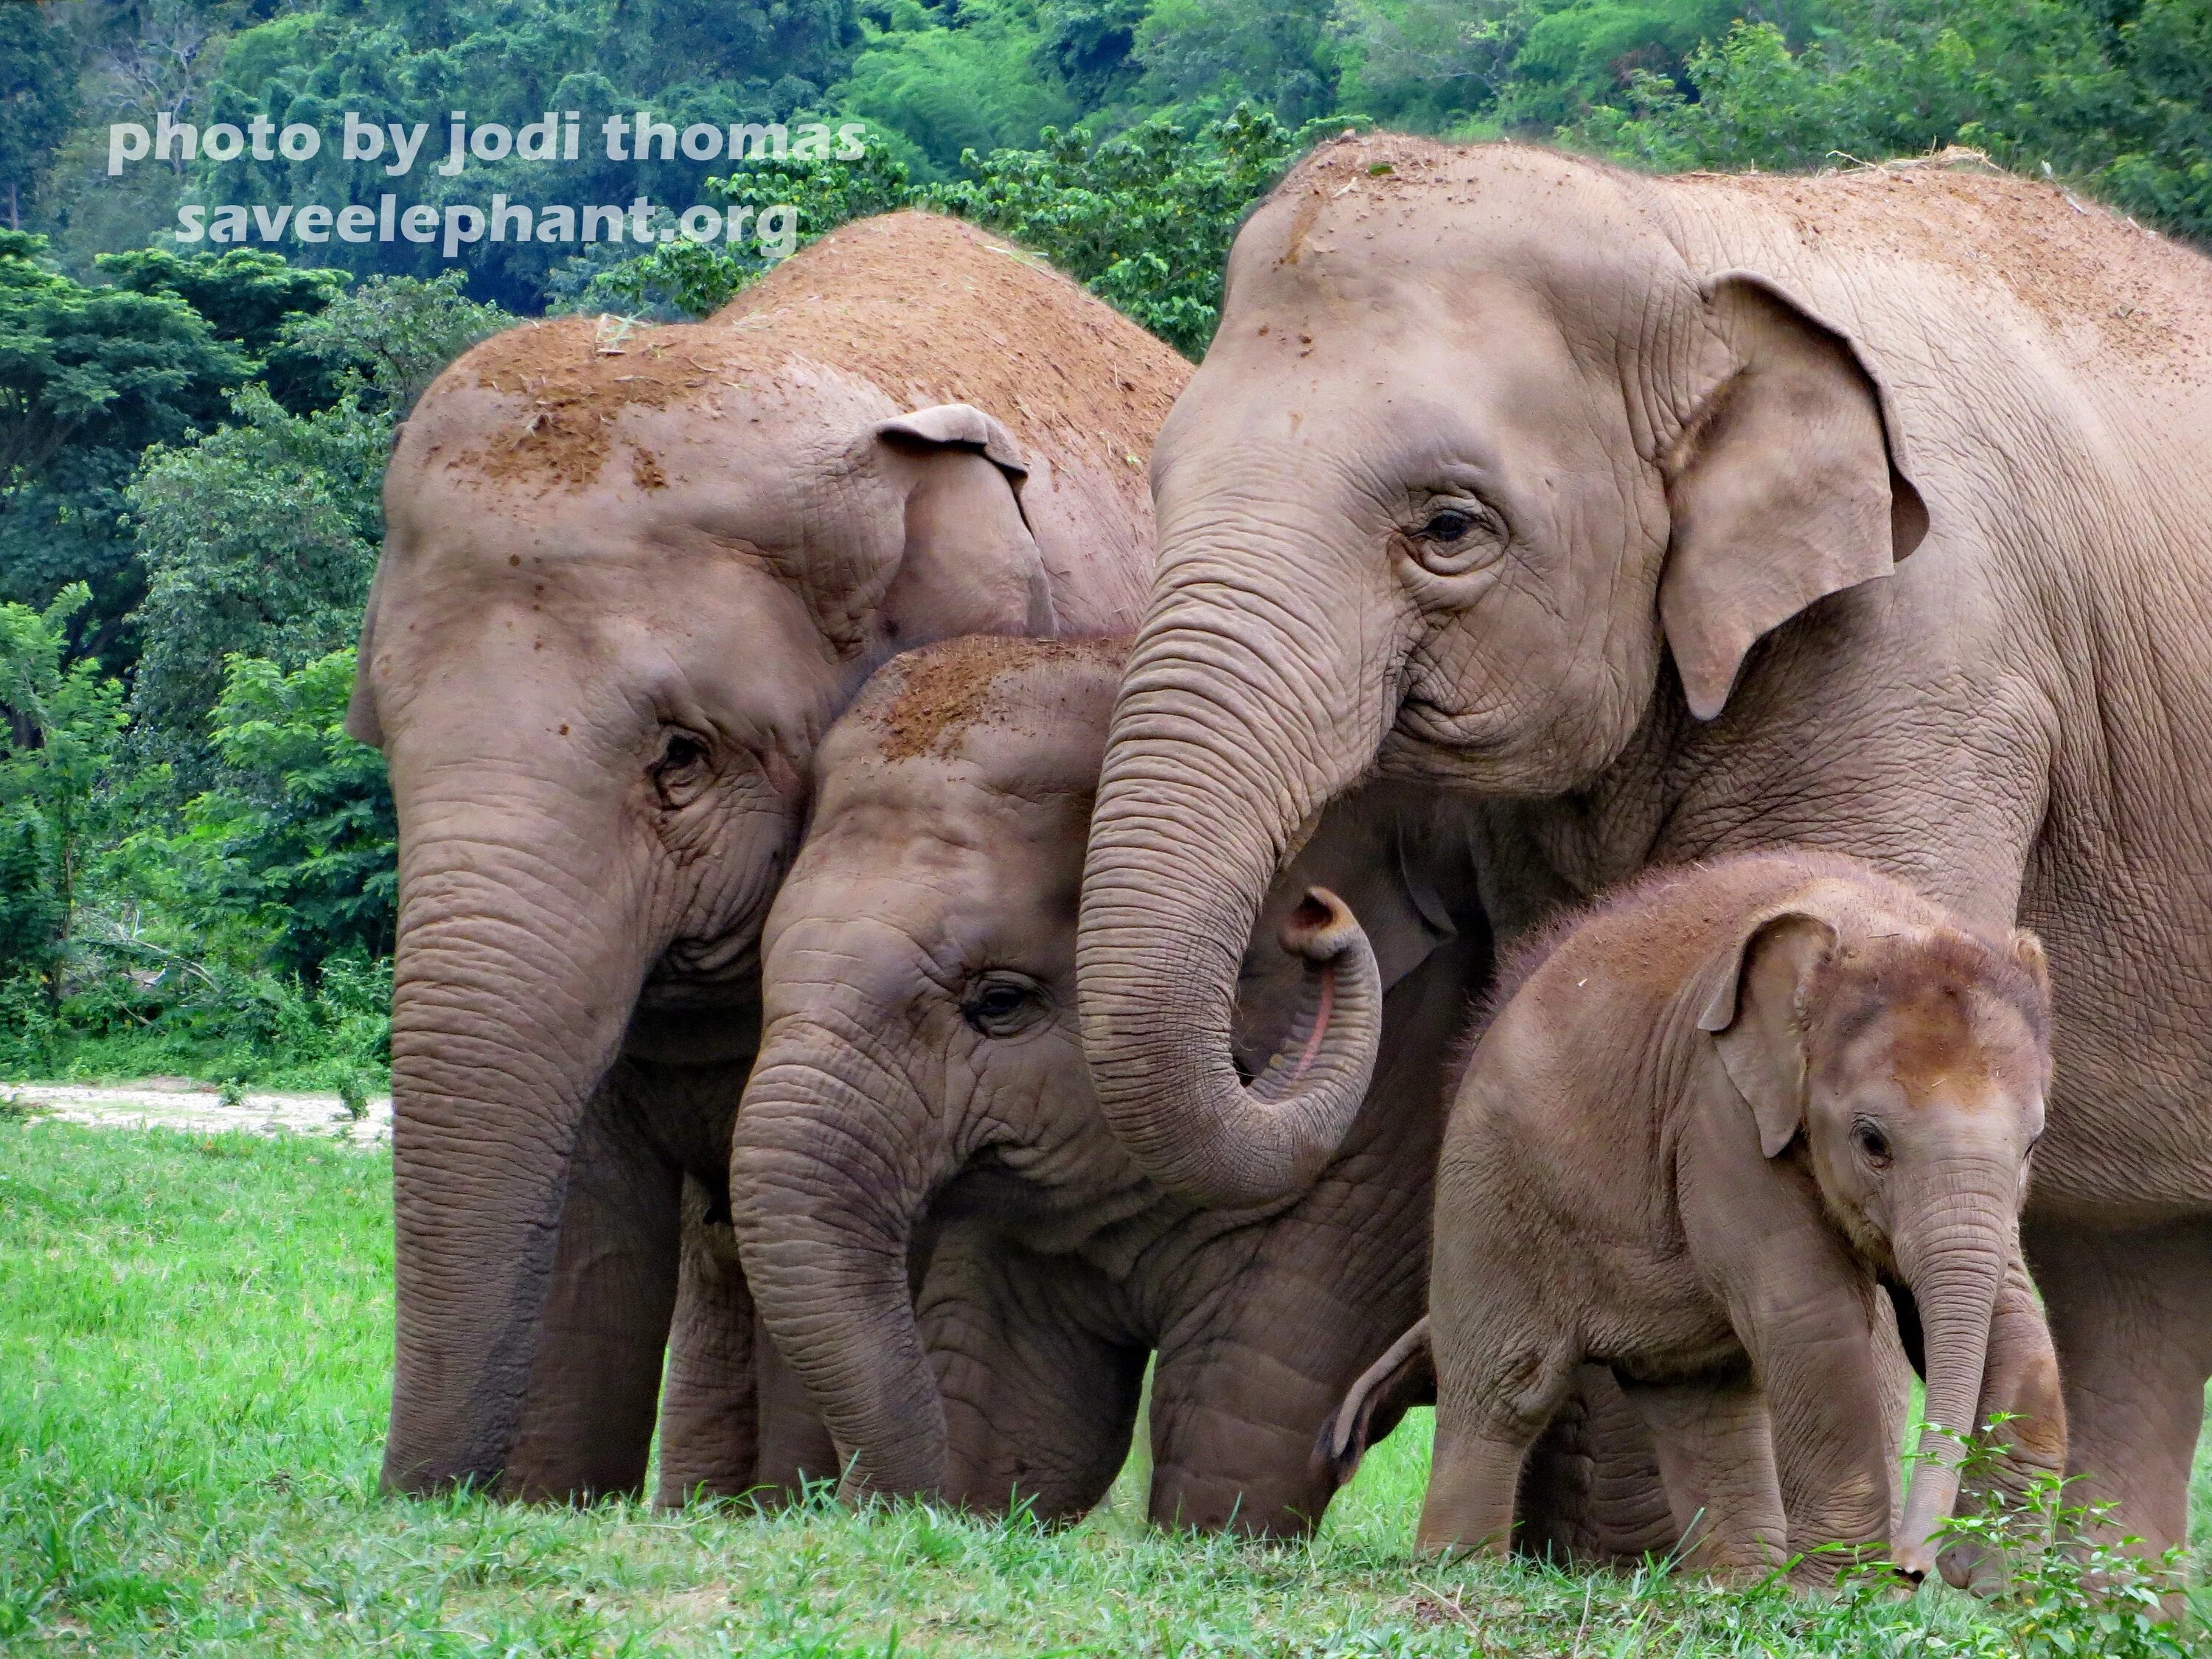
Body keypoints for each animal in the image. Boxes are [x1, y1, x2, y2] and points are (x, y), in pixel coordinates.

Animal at [1407, 849, 2062, 1593]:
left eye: (2033, 1144)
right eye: (1872, 1142)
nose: (1917, 1568)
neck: (1879, 923)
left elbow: (2013, 1314)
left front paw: (2002, 1582)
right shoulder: (1719, 1109)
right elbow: (1810, 1313)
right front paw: (1839, 1592)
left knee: (1701, 1394)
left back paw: (1737, 1584)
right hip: (1490, 1187)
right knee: (1505, 1389)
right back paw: (1456, 1571)